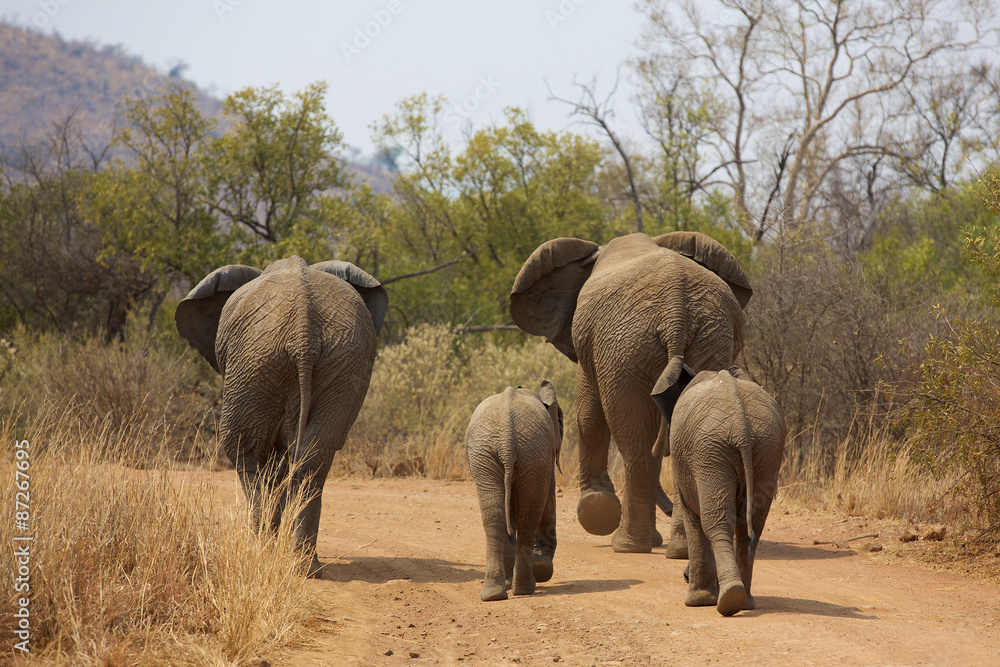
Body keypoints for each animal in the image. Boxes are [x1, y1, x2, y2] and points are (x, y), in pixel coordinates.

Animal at [175, 255, 387, 576]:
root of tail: (304, 332)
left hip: (255, 363)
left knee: (245, 451)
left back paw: (263, 552)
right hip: (342, 363)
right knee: (314, 456)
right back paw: (306, 568)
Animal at [465, 381, 563, 601]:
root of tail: (506, 442)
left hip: (497, 454)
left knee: (496, 516)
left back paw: (496, 594)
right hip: (527, 452)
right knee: (528, 515)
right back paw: (523, 588)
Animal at [510, 232, 752, 554]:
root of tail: (677, 314)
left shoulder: (592, 347)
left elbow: (589, 419)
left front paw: (596, 509)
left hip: (624, 350)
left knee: (635, 445)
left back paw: (628, 545)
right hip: (701, 342)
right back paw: (679, 550)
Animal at [652, 365, 786, 616]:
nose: (684, 576)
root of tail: (742, 428)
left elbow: (691, 515)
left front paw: (697, 601)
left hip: (710, 451)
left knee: (717, 521)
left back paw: (728, 600)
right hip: (764, 449)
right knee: (751, 525)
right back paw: (743, 601)